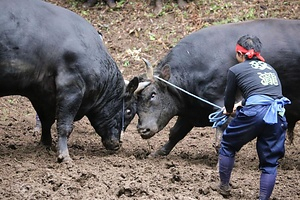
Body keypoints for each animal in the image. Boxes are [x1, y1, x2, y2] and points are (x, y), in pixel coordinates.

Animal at [0, 0, 138, 162]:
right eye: (129, 111)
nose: (117, 144)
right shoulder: (71, 88)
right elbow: (64, 125)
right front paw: (64, 156)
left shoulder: (40, 93)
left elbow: (46, 120)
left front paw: (45, 144)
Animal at [136, 18, 300, 156]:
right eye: (136, 98)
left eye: (153, 94)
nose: (142, 129)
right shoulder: (190, 111)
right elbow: (176, 132)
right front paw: (158, 152)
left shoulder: (224, 104)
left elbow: (223, 133)